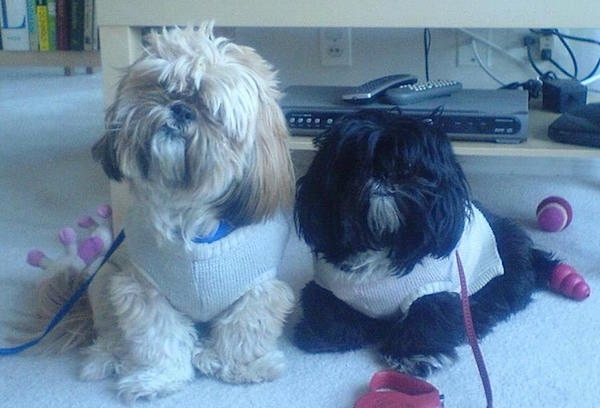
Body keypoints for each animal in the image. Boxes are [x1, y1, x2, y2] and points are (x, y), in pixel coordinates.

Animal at [29, 22, 296, 402]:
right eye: (163, 86)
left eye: (211, 108)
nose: (181, 108)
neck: (192, 223)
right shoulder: (142, 289)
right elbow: (158, 338)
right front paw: (157, 378)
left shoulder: (257, 290)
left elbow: (241, 333)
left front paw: (239, 368)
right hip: (104, 276)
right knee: (111, 333)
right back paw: (106, 357)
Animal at [292, 110, 560, 378]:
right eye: (355, 163)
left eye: (408, 166)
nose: (382, 174)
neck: (384, 239)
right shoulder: (328, 288)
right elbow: (329, 313)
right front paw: (321, 336)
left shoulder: (434, 290)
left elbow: (427, 317)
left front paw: (415, 355)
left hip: (502, 270)